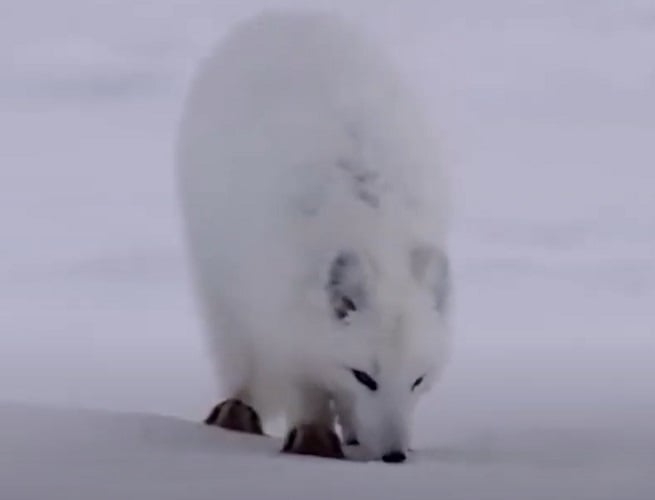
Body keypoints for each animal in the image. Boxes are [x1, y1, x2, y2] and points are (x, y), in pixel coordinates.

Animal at [176, 9, 452, 462]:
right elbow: (304, 383)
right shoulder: (281, 316)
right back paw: (236, 410)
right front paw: (314, 439)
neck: (372, 228)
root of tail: (284, 15)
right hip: (217, 283)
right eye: (364, 376)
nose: (394, 456)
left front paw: (356, 434)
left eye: (418, 379)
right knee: (235, 354)